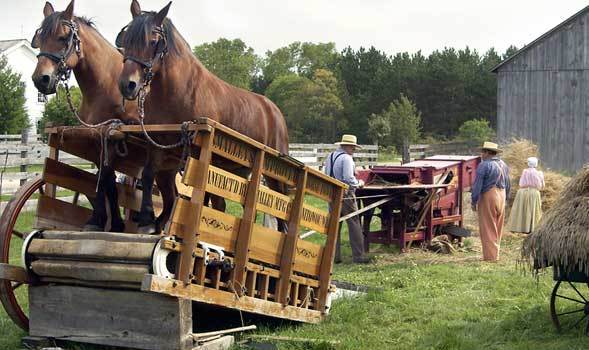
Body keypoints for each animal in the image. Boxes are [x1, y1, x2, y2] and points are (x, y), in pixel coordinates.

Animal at [30, 1, 179, 234]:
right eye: (40, 40)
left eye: (63, 38)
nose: (41, 79)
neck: (105, 85)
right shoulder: (97, 140)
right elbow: (106, 180)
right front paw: (108, 221)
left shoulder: (111, 138)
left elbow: (107, 178)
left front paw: (104, 221)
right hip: (167, 168)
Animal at [115, 0, 290, 232]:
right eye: (126, 40)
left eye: (152, 41)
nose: (128, 85)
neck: (178, 93)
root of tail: (274, 111)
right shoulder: (159, 145)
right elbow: (150, 174)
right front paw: (148, 220)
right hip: (237, 169)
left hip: (273, 175)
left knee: (281, 212)